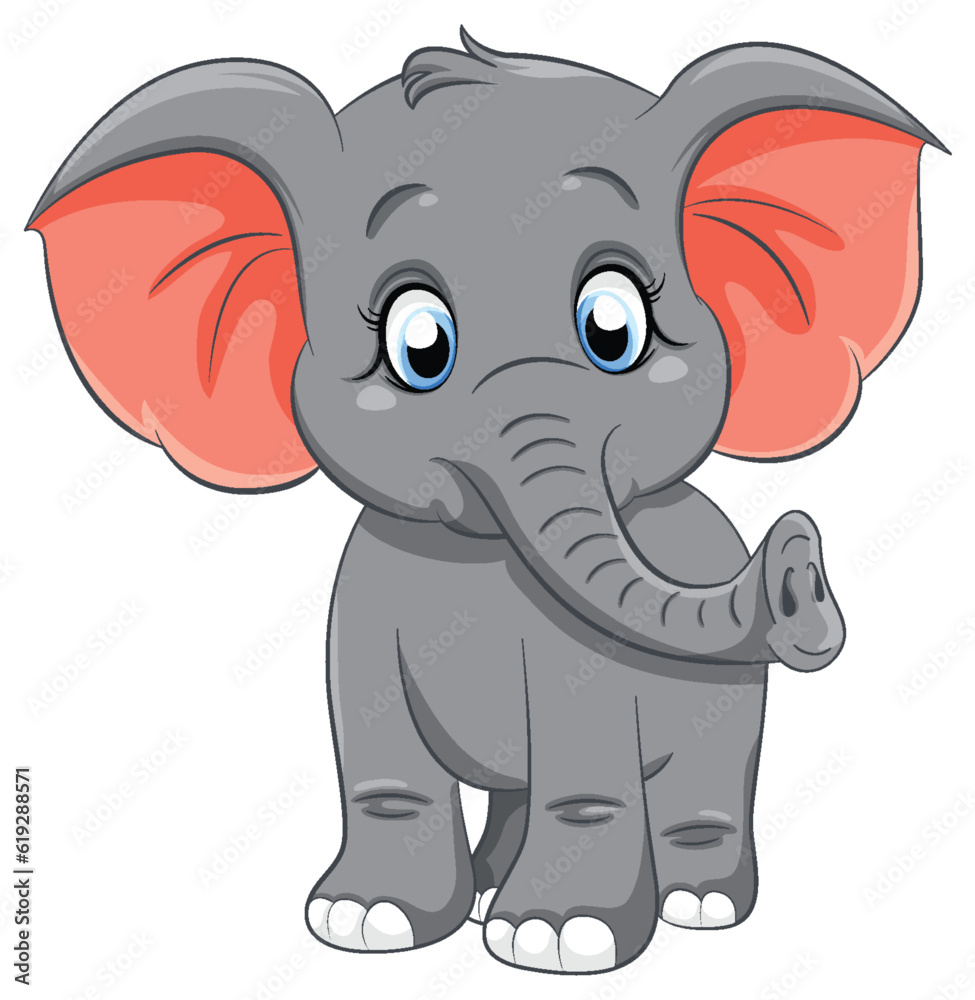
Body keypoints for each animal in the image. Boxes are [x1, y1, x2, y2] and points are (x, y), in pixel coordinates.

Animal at [28, 28, 943, 975]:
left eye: (613, 328)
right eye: (418, 344)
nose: (800, 567)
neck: (485, 551)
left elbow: (584, 771)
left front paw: (556, 938)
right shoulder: (364, 601)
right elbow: (382, 763)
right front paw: (365, 920)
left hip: (734, 699)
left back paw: (695, 904)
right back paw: (486, 891)